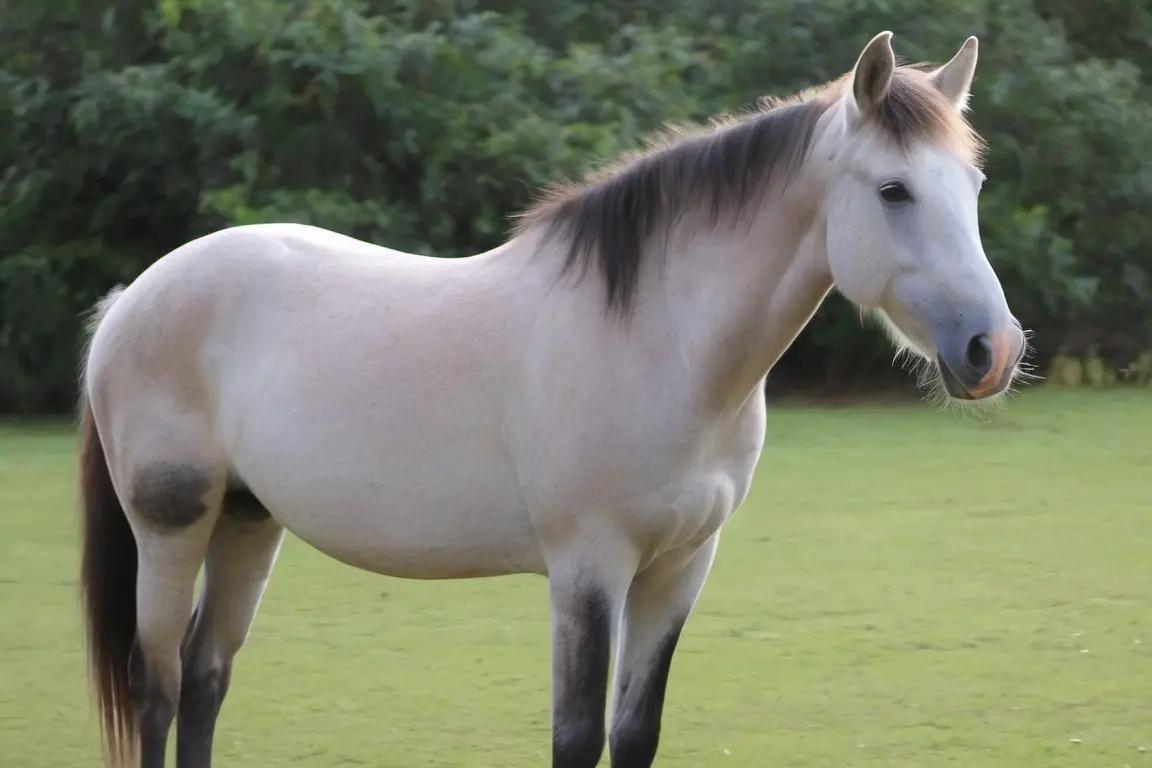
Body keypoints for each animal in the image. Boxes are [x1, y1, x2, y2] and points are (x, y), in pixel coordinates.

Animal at [77, 31, 1026, 768]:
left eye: (973, 187)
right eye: (893, 189)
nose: (994, 350)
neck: (656, 340)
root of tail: (130, 300)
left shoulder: (681, 567)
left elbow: (635, 733)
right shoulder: (586, 570)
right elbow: (576, 737)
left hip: (247, 519)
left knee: (205, 680)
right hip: (172, 524)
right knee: (158, 685)